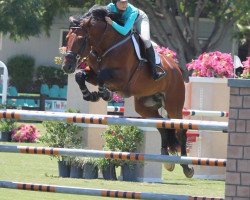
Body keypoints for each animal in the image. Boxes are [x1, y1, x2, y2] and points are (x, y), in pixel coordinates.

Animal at [61, 5, 194, 178]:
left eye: (81, 40)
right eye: (67, 37)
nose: (67, 67)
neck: (105, 45)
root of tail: (176, 68)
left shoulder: (122, 78)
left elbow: (103, 76)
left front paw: (104, 93)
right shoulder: (93, 73)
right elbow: (80, 76)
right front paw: (90, 95)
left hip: (173, 104)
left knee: (180, 130)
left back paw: (187, 167)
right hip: (144, 107)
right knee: (161, 125)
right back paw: (166, 159)